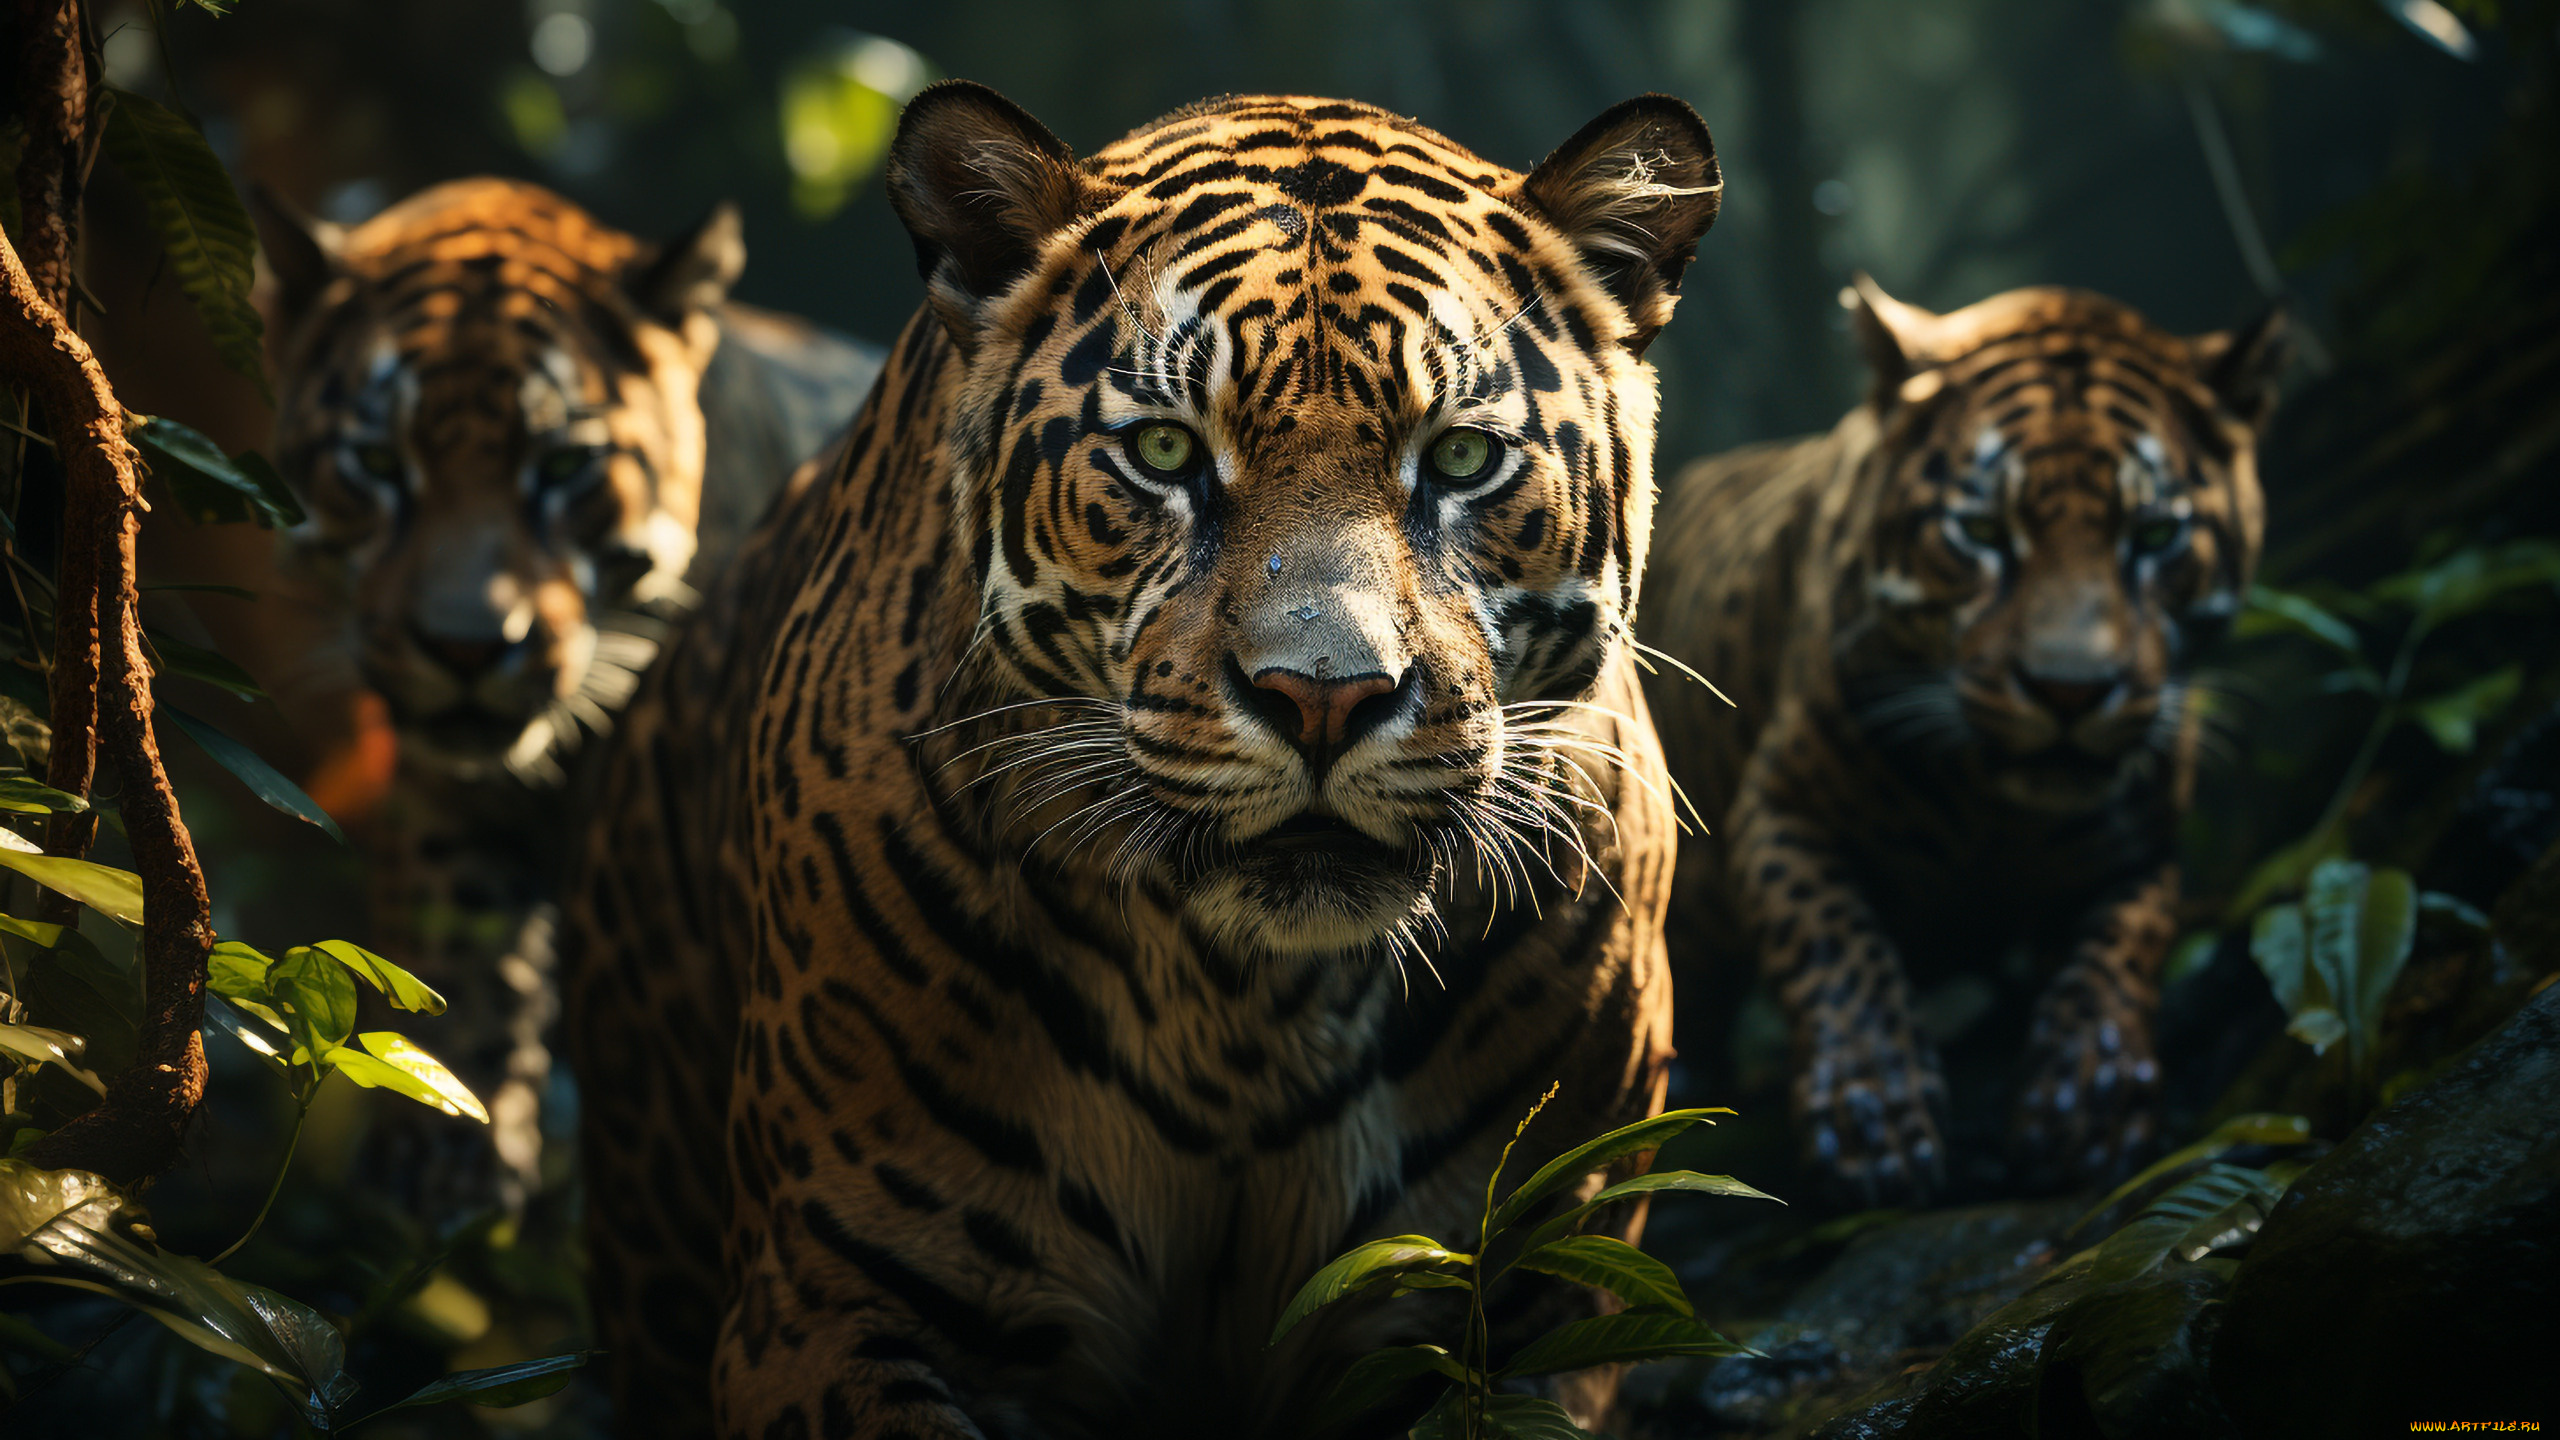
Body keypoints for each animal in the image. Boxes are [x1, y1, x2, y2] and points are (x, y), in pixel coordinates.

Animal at [251, 176, 880, 1211]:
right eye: (377, 465)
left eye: (562, 466)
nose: (466, 646)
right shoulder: (449, 795)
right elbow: (456, 942)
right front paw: (441, 1161)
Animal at [561, 83, 1721, 1437]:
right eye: (1164, 454)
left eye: (1461, 459)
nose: (1322, 697)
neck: (1247, 1017)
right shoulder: (828, 1300)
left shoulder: (1535, 1303)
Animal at [1640, 277, 2285, 1205]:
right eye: (1980, 533)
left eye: (2156, 537)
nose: (2068, 690)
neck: (1996, 810)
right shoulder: (1780, 810)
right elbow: (1833, 942)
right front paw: (1873, 1125)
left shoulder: (2144, 849)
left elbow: (2122, 948)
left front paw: (2086, 1105)